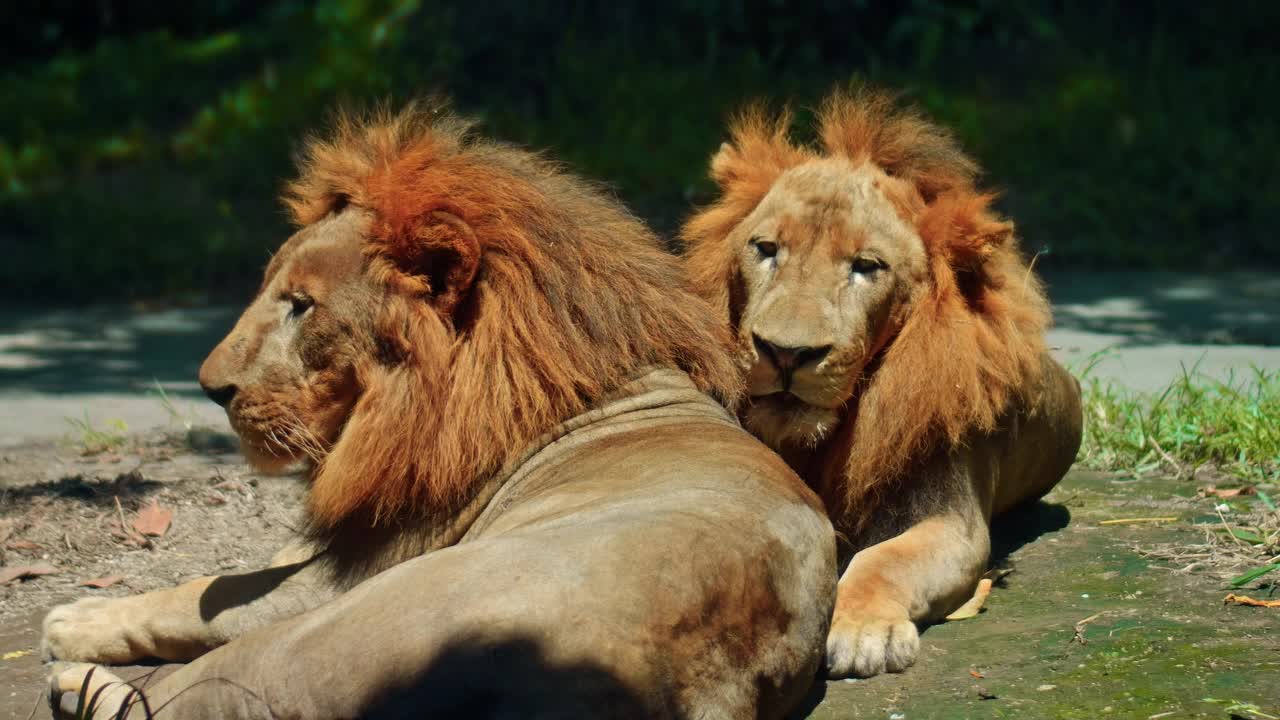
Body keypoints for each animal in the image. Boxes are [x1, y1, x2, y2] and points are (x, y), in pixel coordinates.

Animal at [40, 102, 834, 717]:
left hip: (325, 635)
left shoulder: (347, 574)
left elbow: (209, 589)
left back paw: (77, 681)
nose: (210, 387)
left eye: (301, 306)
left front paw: (78, 617)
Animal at [680, 87, 1080, 676]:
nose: (785, 353)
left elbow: (883, 559)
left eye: (866, 266)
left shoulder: (950, 520)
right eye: (767, 249)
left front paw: (863, 631)